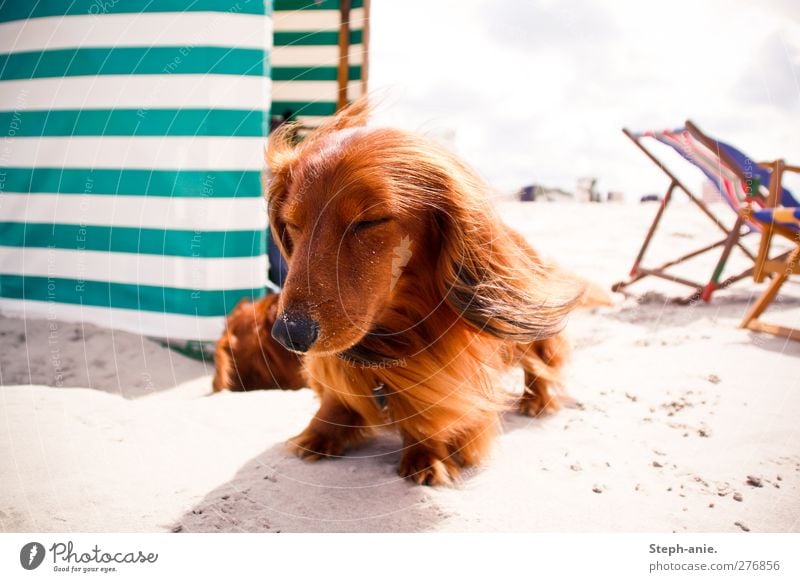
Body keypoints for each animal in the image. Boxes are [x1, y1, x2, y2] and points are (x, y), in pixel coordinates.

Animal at [266, 101, 584, 488]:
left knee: (540, 358)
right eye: (292, 224)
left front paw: (425, 453)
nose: (288, 334)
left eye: (369, 221)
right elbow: (337, 400)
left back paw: (537, 399)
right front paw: (320, 432)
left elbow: (431, 415)